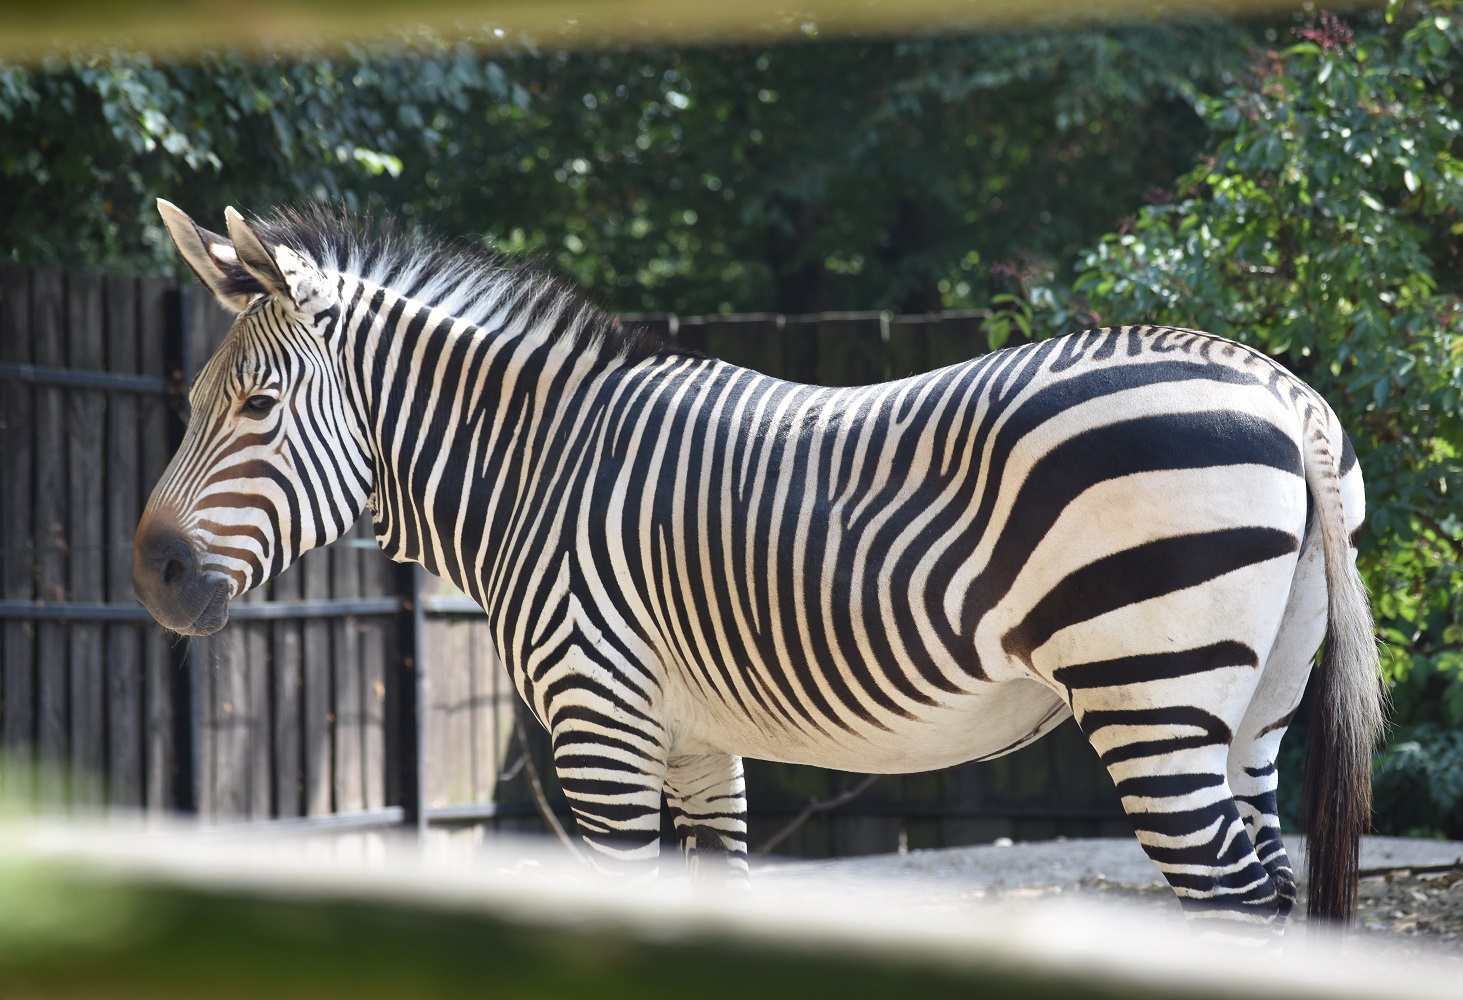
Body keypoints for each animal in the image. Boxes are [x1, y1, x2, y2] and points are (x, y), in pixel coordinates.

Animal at [133, 201, 1383, 930]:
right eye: (194, 399)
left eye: (257, 407)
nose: (149, 574)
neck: (535, 469)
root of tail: (1281, 395)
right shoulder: (695, 737)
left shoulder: (599, 724)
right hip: (1254, 702)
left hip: (1148, 687)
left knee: (1225, 894)